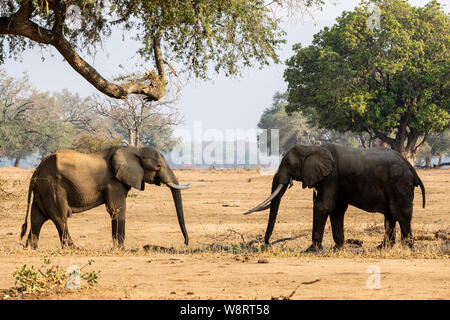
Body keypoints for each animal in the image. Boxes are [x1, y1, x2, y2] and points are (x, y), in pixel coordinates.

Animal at [20, 146, 190, 249]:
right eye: (158, 166)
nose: (185, 243)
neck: (134, 150)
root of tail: (35, 174)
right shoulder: (114, 182)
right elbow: (117, 209)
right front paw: (119, 248)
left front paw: (117, 247)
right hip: (53, 188)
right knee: (60, 218)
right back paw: (74, 248)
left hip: (43, 190)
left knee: (37, 218)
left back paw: (31, 248)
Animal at [244, 144, 424, 251]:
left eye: (288, 164)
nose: (266, 244)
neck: (312, 147)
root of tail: (411, 168)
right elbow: (337, 210)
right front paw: (337, 249)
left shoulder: (330, 177)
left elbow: (322, 206)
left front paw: (311, 250)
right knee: (390, 216)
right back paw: (382, 248)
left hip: (399, 185)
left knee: (401, 215)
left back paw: (407, 248)